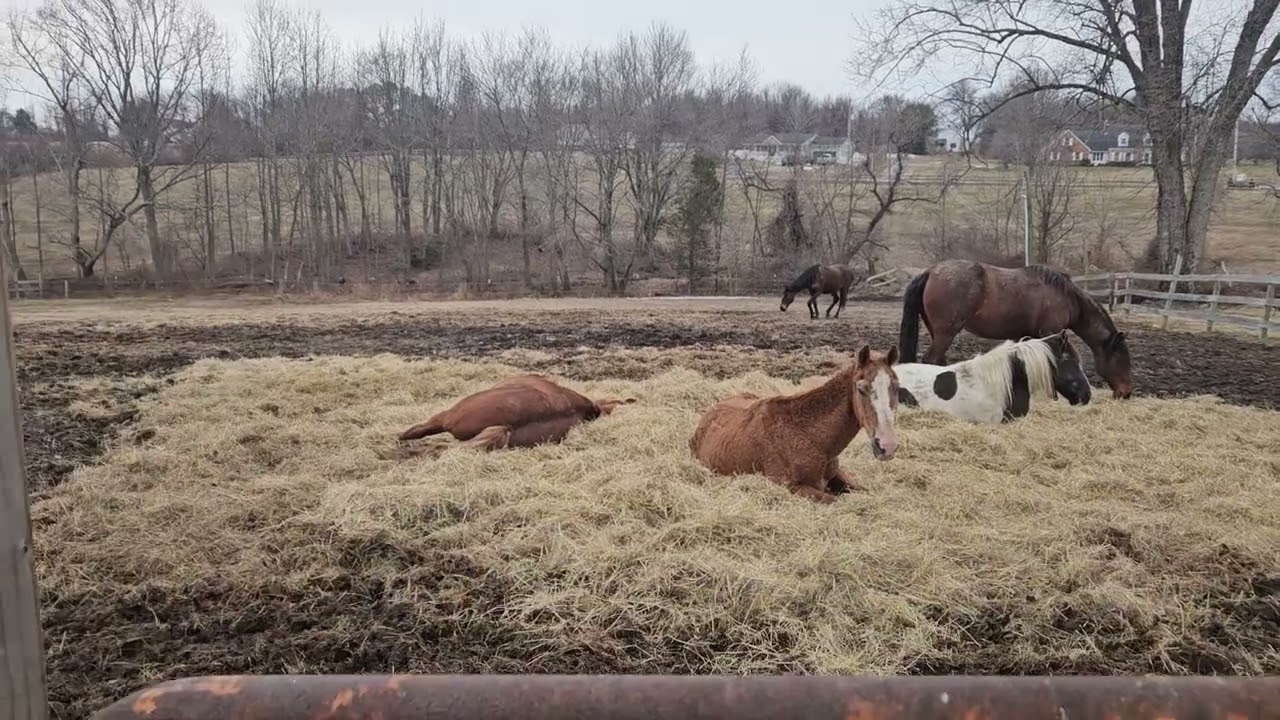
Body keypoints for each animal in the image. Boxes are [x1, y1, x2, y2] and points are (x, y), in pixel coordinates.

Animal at [689, 343, 900, 505]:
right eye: (861, 389)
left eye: (896, 387)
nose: (887, 445)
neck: (809, 436)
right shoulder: (791, 486)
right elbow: (834, 500)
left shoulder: (838, 475)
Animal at [898, 259, 1133, 399]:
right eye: (1121, 359)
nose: (1125, 393)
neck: (1066, 296)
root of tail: (931, 271)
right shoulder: (1051, 333)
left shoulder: (1027, 335)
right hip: (945, 333)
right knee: (931, 359)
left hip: (938, 333)